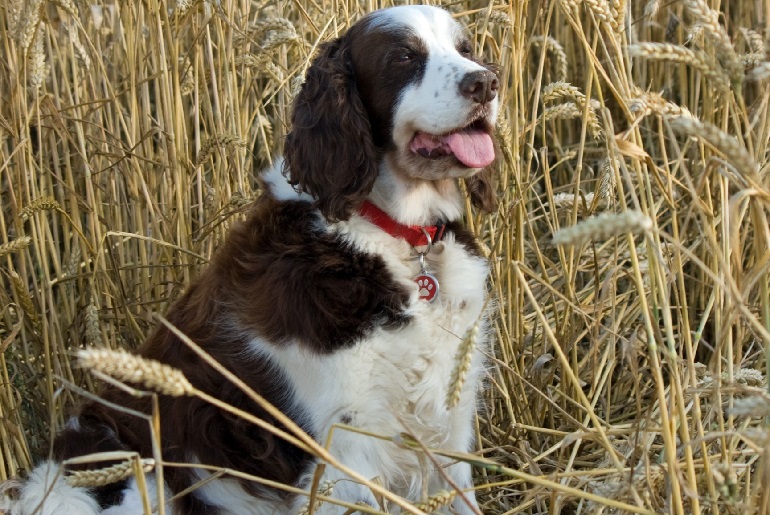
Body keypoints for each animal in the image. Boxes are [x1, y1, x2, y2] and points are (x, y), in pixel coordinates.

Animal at [9, 5, 498, 515]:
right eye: (403, 57)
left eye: (465, 49)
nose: (485, 82)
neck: (399, 239)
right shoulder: (346, 444)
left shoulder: (450, 416)